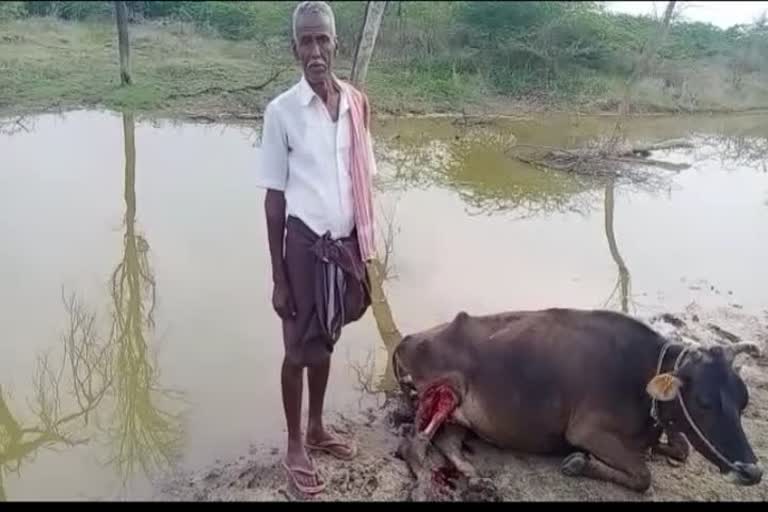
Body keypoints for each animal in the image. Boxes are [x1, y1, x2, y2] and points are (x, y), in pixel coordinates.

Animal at [392, 308, 764, 496]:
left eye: (743, 401)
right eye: (703, 402)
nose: (753, 470)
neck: (640, 375)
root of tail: (409, 338)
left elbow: (681, 447)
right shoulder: (586, 431)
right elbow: (643, 476)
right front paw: (579, 463)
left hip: (462, 417)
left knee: (449, 445)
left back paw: (478, 481)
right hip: (444, 392)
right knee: (414, 446)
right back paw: (426, 487)